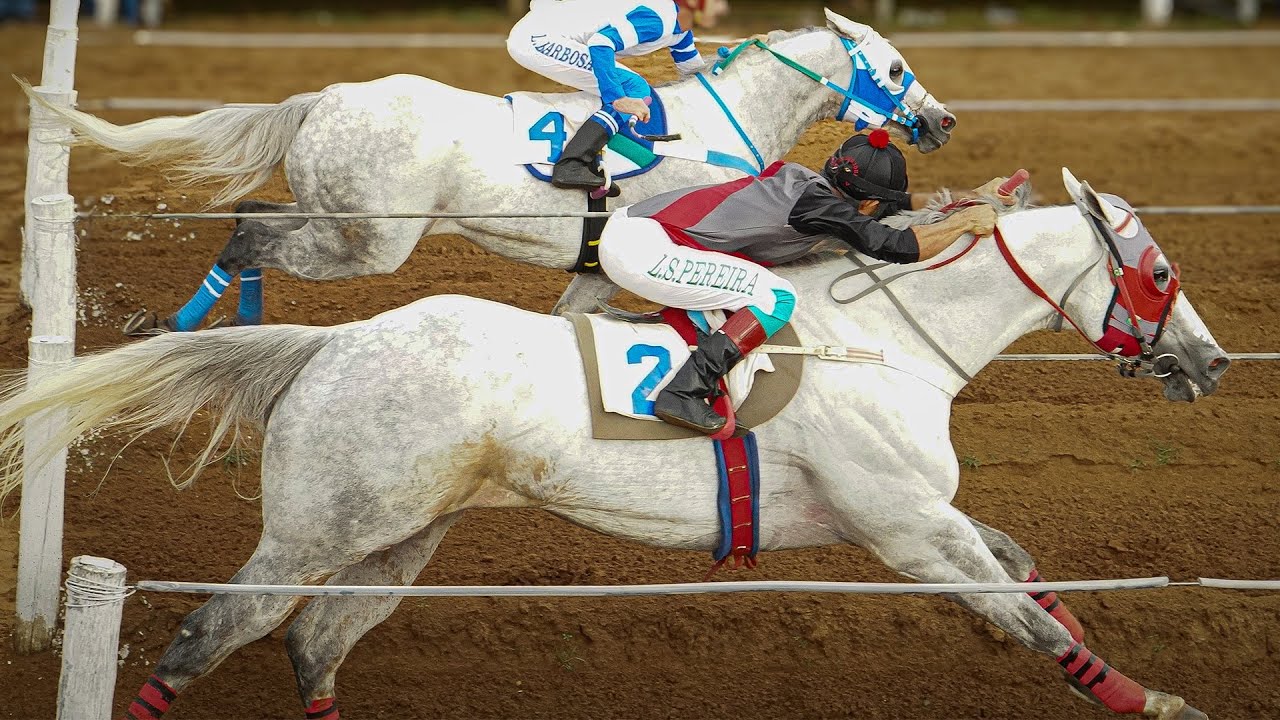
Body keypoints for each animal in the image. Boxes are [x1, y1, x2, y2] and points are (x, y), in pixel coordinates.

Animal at [0, 171, 1227, 719]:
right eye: (1160, 271)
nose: (1211, 363)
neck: (886, 341)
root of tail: (336, 340)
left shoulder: (915, 514)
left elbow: (1023, 568)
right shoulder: (905, 528)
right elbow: (1022, 616)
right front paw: (1157, 700)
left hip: (400, 533)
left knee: (314, 644)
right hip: (314, 527)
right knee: (209, 634)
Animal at [21, 8, 956, 331]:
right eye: (895, 66)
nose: (944, 120)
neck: (721, 126)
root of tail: (323, 98)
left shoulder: (595, 270)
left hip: (339, 224)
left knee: (252, 222)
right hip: (370, 243)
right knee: (255, 234)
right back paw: (187, 326)